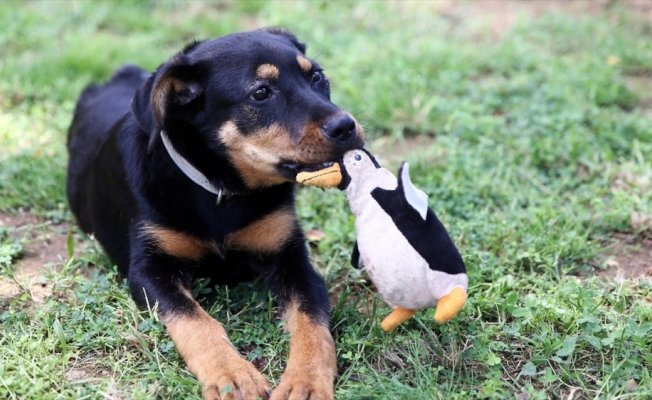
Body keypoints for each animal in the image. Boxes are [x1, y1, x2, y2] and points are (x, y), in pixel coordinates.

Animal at [68, 26, 364, 398]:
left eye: (317, 76)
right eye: (260, 93)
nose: (346, 126)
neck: (221, 189)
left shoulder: (291, 258)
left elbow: (311, 320)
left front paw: (306, 381)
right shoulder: (149, 270)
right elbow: (195, 320)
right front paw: (232, 376)